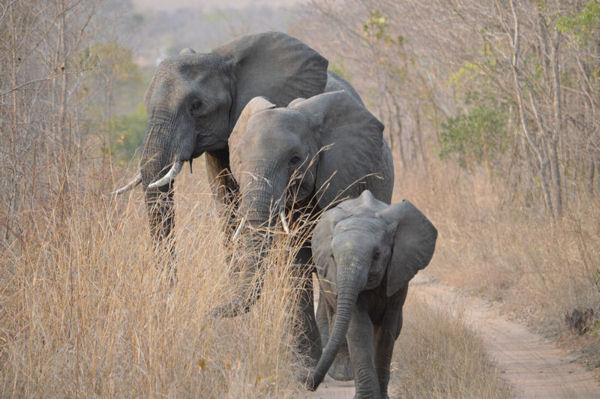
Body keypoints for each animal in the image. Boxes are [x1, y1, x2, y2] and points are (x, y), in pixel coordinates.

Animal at [218, 90, 396, 372]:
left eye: (294, 160)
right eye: (239, 160)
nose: (212, 312)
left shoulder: (343, 177)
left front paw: (334, 368)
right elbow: (296, 262)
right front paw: (304, 365)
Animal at [308, 191, 438, 399]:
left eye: (377, 255)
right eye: (333, 257)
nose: (309, 385)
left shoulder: (398, 272)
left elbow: (387, 331)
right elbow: (359, 329)